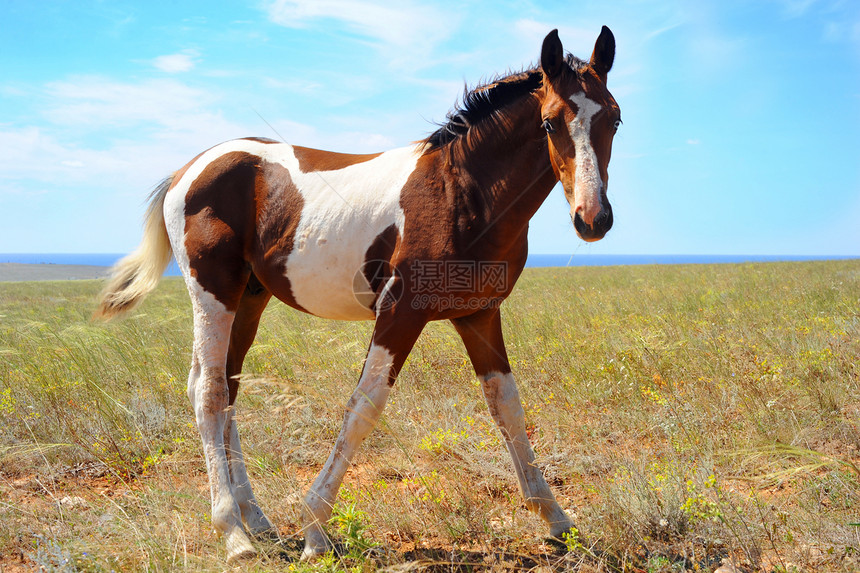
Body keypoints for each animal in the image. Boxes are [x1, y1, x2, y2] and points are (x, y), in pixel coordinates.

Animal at [95, 27, 620, 564]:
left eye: (615, 118)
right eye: (550, 121)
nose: (592, 219)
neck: (461, 192)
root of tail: (188, 169)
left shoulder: (479, 315)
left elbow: (508, 409)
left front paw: (558, 520)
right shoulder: (400, 313)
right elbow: (364, 406)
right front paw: (315, 529)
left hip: (249, 298)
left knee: (227, 387)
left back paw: (258, 522)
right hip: (213, 292)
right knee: (209, 391)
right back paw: (234, 534)